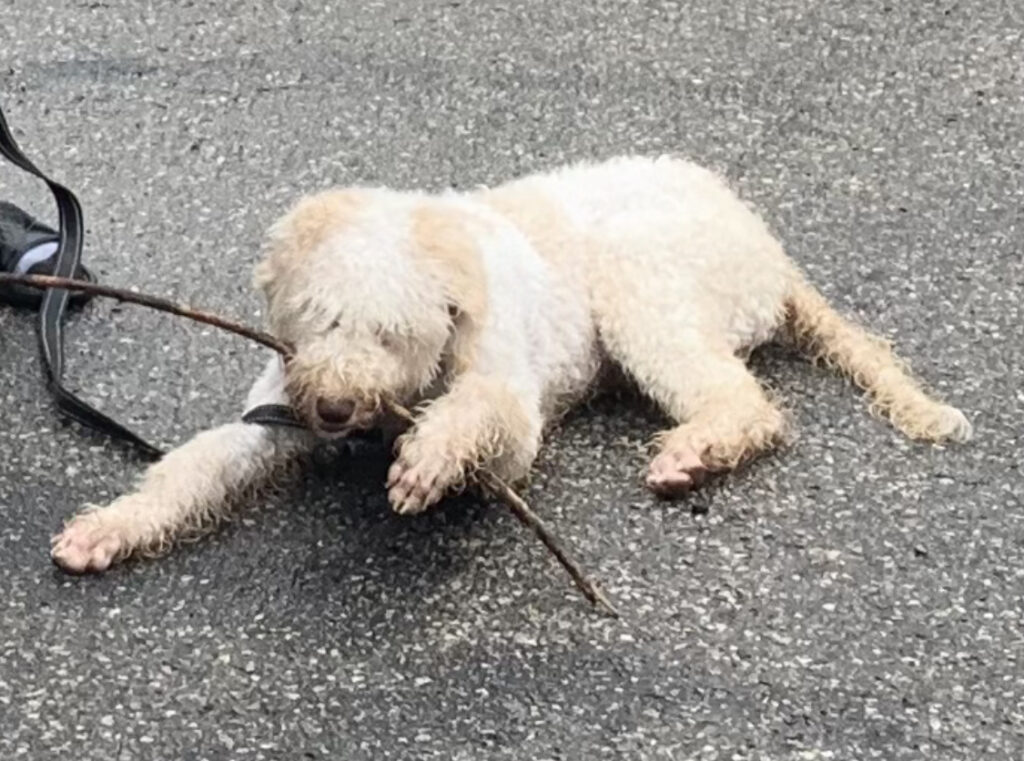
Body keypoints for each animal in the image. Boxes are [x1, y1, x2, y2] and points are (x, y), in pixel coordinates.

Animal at [49, 156, 974, 573]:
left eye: (392, 334)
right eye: (320, 319)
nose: (337, 413)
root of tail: (771, 252)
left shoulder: (506, 401)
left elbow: (485, 413)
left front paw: (427, 458)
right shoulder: (275, 404)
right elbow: (196, 465)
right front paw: (114, 524)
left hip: (642, 281)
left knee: (746, 403)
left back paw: (692, 450)